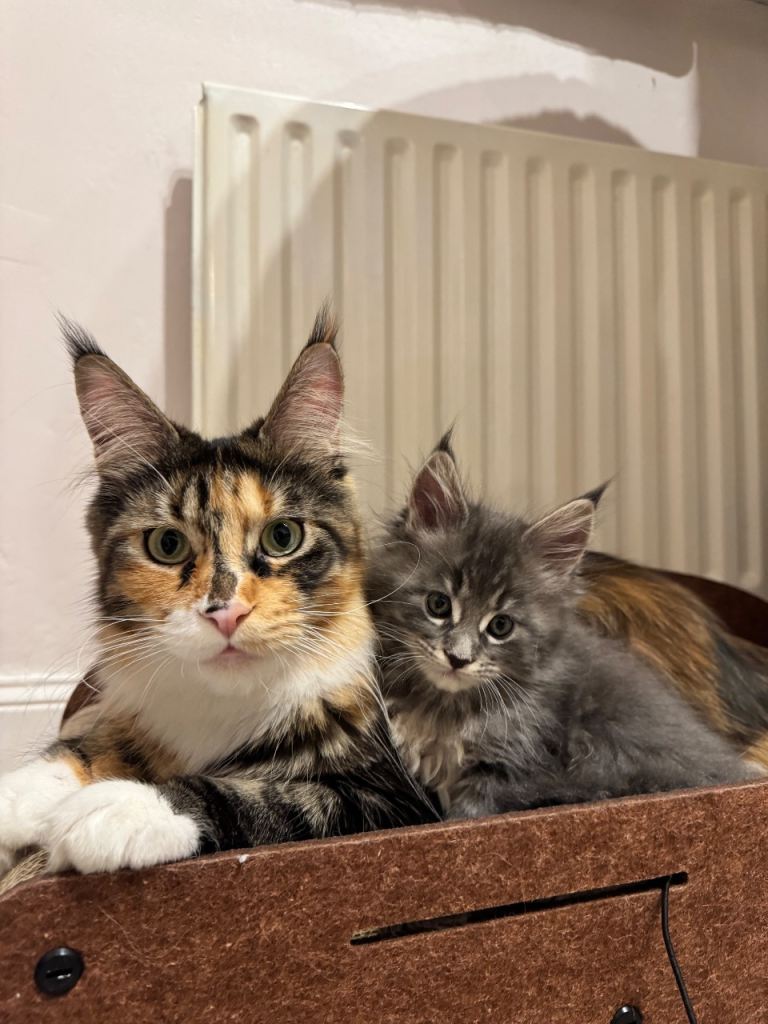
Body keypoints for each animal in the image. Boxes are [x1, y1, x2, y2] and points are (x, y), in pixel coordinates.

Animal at [0, 309, 437, 877]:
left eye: (283, 537)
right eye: (167, 545)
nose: (226, 614)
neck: (223, 710)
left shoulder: (391, 797)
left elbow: (255, 794)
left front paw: (123, 806)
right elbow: (91, 746)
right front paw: (22, 795)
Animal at [368, 435, 763, 818]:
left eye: (500, 626)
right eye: (438, 605)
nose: (458, 658)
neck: (441, 708)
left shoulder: (507, 771)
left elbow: (466, 818)